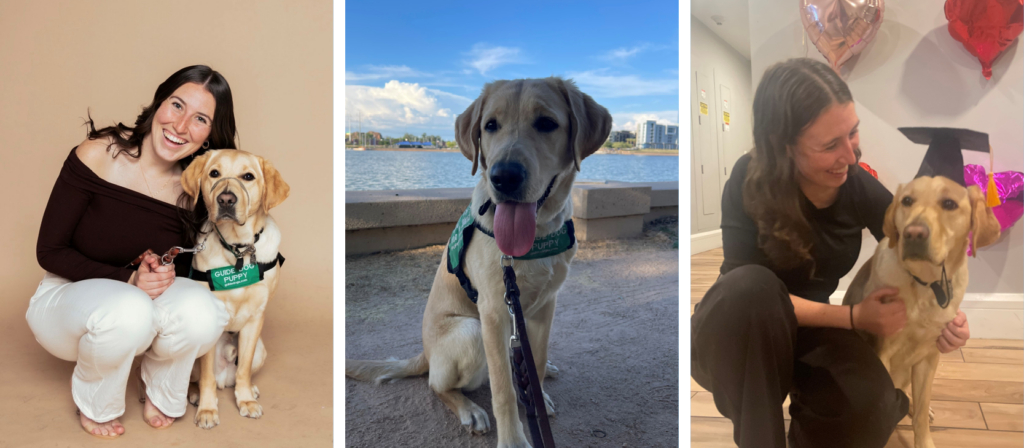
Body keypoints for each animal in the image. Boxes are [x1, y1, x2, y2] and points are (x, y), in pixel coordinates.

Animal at [181, 148, 288, 429]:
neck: (238, 249)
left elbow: (244, 369)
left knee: (240, 371)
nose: (226, 199)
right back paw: (195, 394)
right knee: (194, 379)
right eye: (214, 173)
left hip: (261, 350)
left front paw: (246, 400)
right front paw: (208, 410)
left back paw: (250, 389)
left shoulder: (256, 317)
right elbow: (206, 376)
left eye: (248, 176)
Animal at [348, 77, 610, 448]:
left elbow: (538, 359)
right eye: (490, 125)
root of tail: (425, 354)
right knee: (438, 385)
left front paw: (538, 392)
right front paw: (513, 439)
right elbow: (503, 390)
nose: (504, 176)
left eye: (547, 123)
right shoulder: (494, 312)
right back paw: (468, 408)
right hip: (470, 331)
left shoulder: (546, 306)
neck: (536, 237)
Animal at [843, 175, 1003, 448]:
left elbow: (920, 410)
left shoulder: (929, 356)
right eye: (907, 200)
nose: (913, 233)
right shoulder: (884, 351)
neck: (926, 285)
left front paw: (924, 436)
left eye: (949, 204)